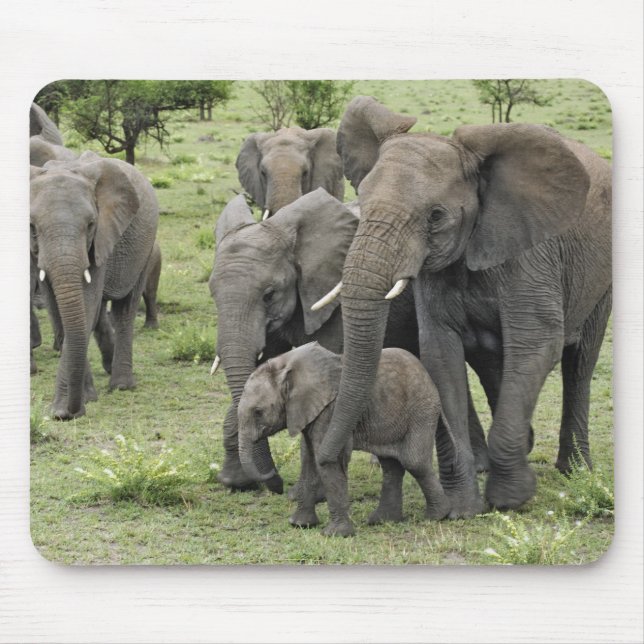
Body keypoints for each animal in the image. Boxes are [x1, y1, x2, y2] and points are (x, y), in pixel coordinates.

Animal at [30, 151, 159, 419]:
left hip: (145, 247)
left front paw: (64, 411)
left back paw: (121, 385)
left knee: (124, 309)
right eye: (32, 227)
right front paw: (83, 401)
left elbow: (86, 304)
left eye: (90, 225)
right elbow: (58, 310)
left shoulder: (101, 238)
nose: (71, 412)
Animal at [209, 188, 419, 495]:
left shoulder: (334, 300)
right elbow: (257, 373)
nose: (276, 482)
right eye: (212, 294)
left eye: (269, 295)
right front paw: (235, 482)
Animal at [237, 343, 452, 536]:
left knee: (414, 462)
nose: (273, 472)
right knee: (391, 465)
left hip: (421, 410)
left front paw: (335, 534)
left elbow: (326, 463)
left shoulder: (330, 411)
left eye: (258, 412)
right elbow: (308, 460)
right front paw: (299, 525)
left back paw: (437, 516)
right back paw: (382, 520)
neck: (286, 364)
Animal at [316, 96, 612, 514]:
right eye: (363, 201)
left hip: (601, 277)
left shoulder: (531, 256)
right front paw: (460, 508)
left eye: (436, 216)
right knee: (492, 363)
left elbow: (537, 343)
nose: (328, 460)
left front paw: (510, 499)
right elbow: (441, 356)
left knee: (580, 362)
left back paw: (575, 470)